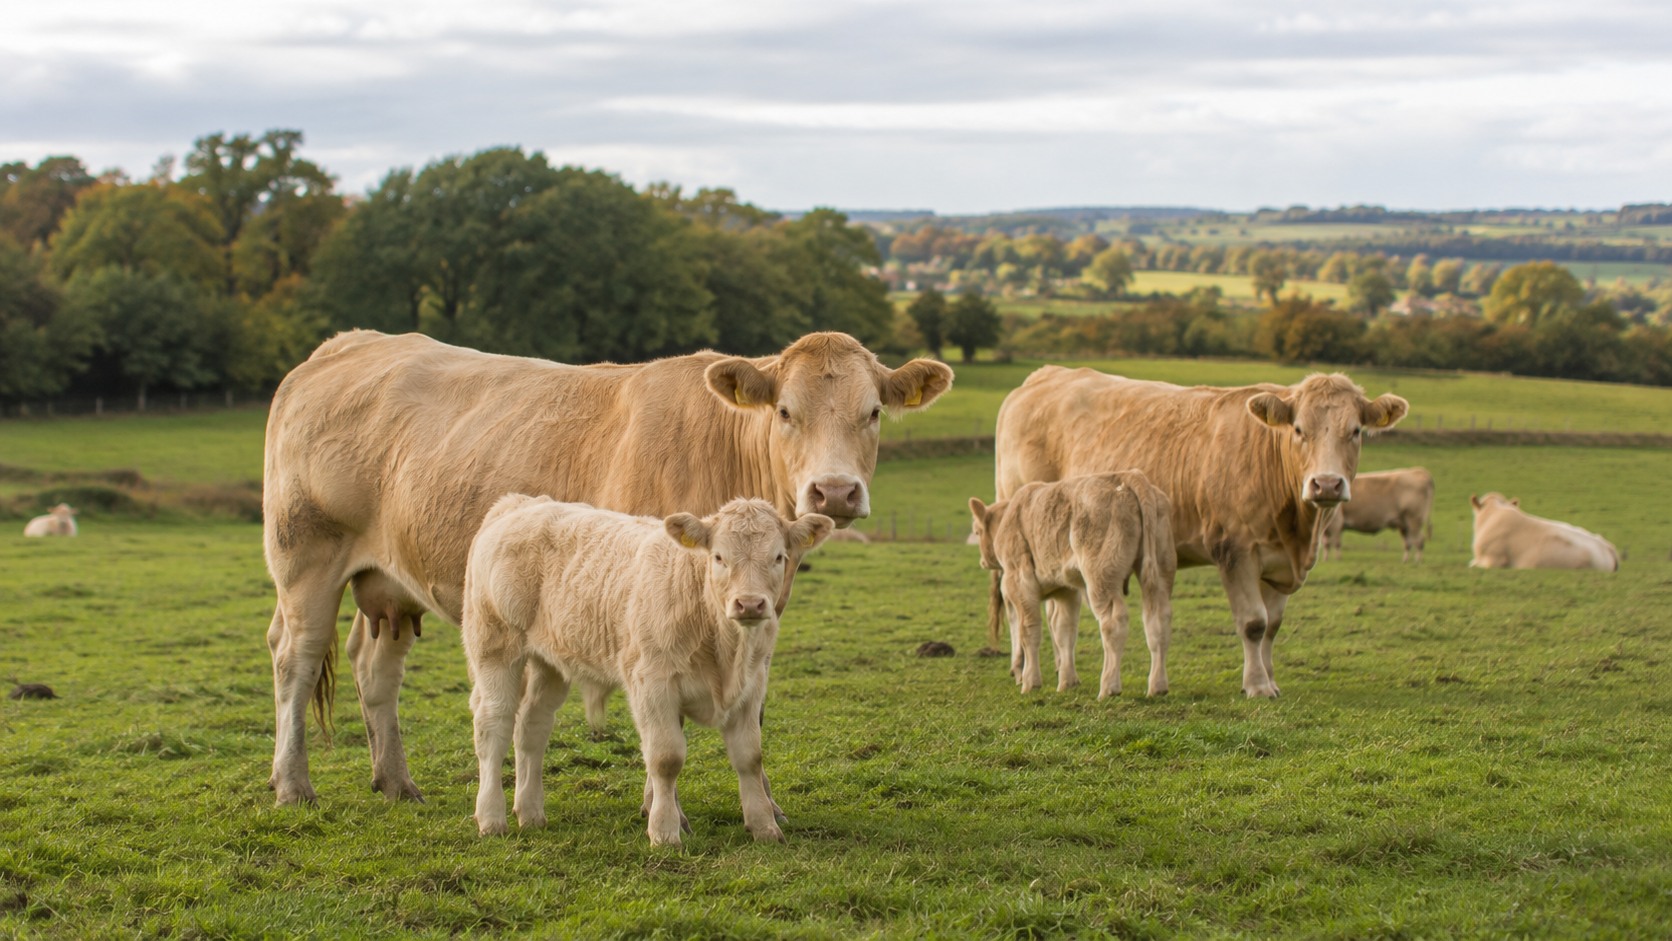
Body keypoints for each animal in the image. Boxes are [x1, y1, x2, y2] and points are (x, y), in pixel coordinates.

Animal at [262, 330, 953, 805]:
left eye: (872, 412)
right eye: (785, 411)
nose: (833, 492)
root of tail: (345, 344)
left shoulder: (761, 617)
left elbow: (750, 720)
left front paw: (768, 810)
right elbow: (658, 730)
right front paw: (661, 810)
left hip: (389, 584)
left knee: (374, 670)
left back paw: (395, 781)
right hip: (305, 558)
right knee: (294, 661)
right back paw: (293, 785)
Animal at [462, 495, 832, 846]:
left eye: (779, 557)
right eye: (719, 557)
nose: (750, 604)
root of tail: (520, 503)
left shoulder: (751, 687)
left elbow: (750, 757)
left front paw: (765, 827)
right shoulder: (652, 683)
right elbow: (666, 759)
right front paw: (665, 832)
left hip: (548, 663)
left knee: (532, 727)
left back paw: (530, 813)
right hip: (495, 647)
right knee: (493, 725)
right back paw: (491, 818)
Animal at [968, 471, 1175, 698]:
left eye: (977, 532)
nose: (982, 562)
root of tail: (1128, 476)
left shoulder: (1019, 581)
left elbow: (1028, 630)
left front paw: (1030, 681)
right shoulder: (1065, 590)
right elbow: (1063, 632)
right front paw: (1067, 681)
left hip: (1100, 578)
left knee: (1113, 622)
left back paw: (1109, 687)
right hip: (1160, 571)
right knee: (1157, 621)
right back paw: (1158, 686)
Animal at [995, 367, 1408, 698]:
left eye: (1355, 431)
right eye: (1299, 430)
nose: (1326, 485)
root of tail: (1046, 375)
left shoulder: (1278, 564)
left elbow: (1272, 627)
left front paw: (1271, 680)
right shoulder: (1236, 551)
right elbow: (1254, 624)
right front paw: (1257, 686)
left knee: (1059, 611)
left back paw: (1064, 673)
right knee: (1015, 604)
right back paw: (1020, 669)